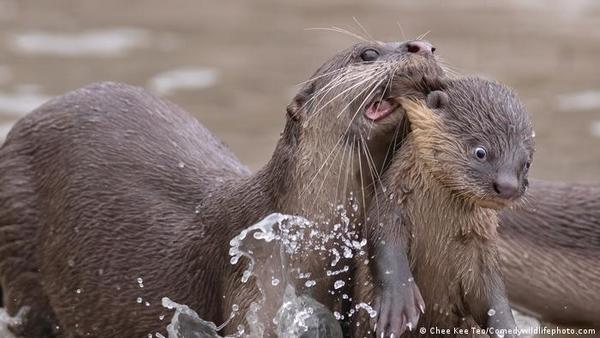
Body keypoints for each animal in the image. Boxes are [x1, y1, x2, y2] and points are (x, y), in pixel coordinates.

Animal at [354, 78, 532, 336]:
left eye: (526, 163)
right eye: (481, 152)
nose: (508, 186)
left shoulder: (481, 247)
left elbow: (493, 295)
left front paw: (507, 327)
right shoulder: (391, 205)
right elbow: (385, 245)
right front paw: (398, 305)